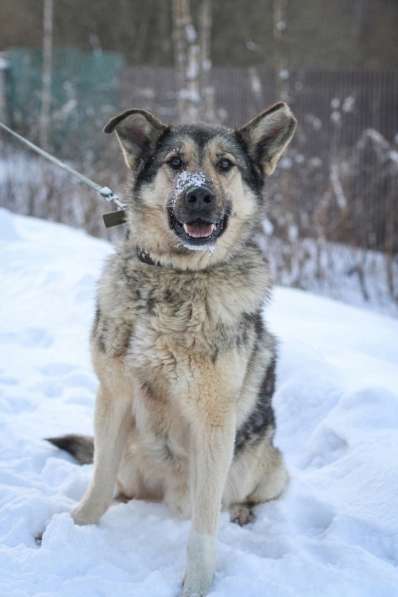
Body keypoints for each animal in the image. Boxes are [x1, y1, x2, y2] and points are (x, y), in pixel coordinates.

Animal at [46, 100, 296, 592]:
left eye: (225, 165)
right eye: (175, 163)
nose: (198, 195)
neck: (176, 278)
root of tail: (162, 494)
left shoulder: (213, 424)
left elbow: (203, 527)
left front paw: (197, 585)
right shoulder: (114, 397)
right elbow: (98, 482)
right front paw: (77, 526)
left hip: (265, 464)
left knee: (246, 499)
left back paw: (241, 512)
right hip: (129, 458)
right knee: (116, 482)